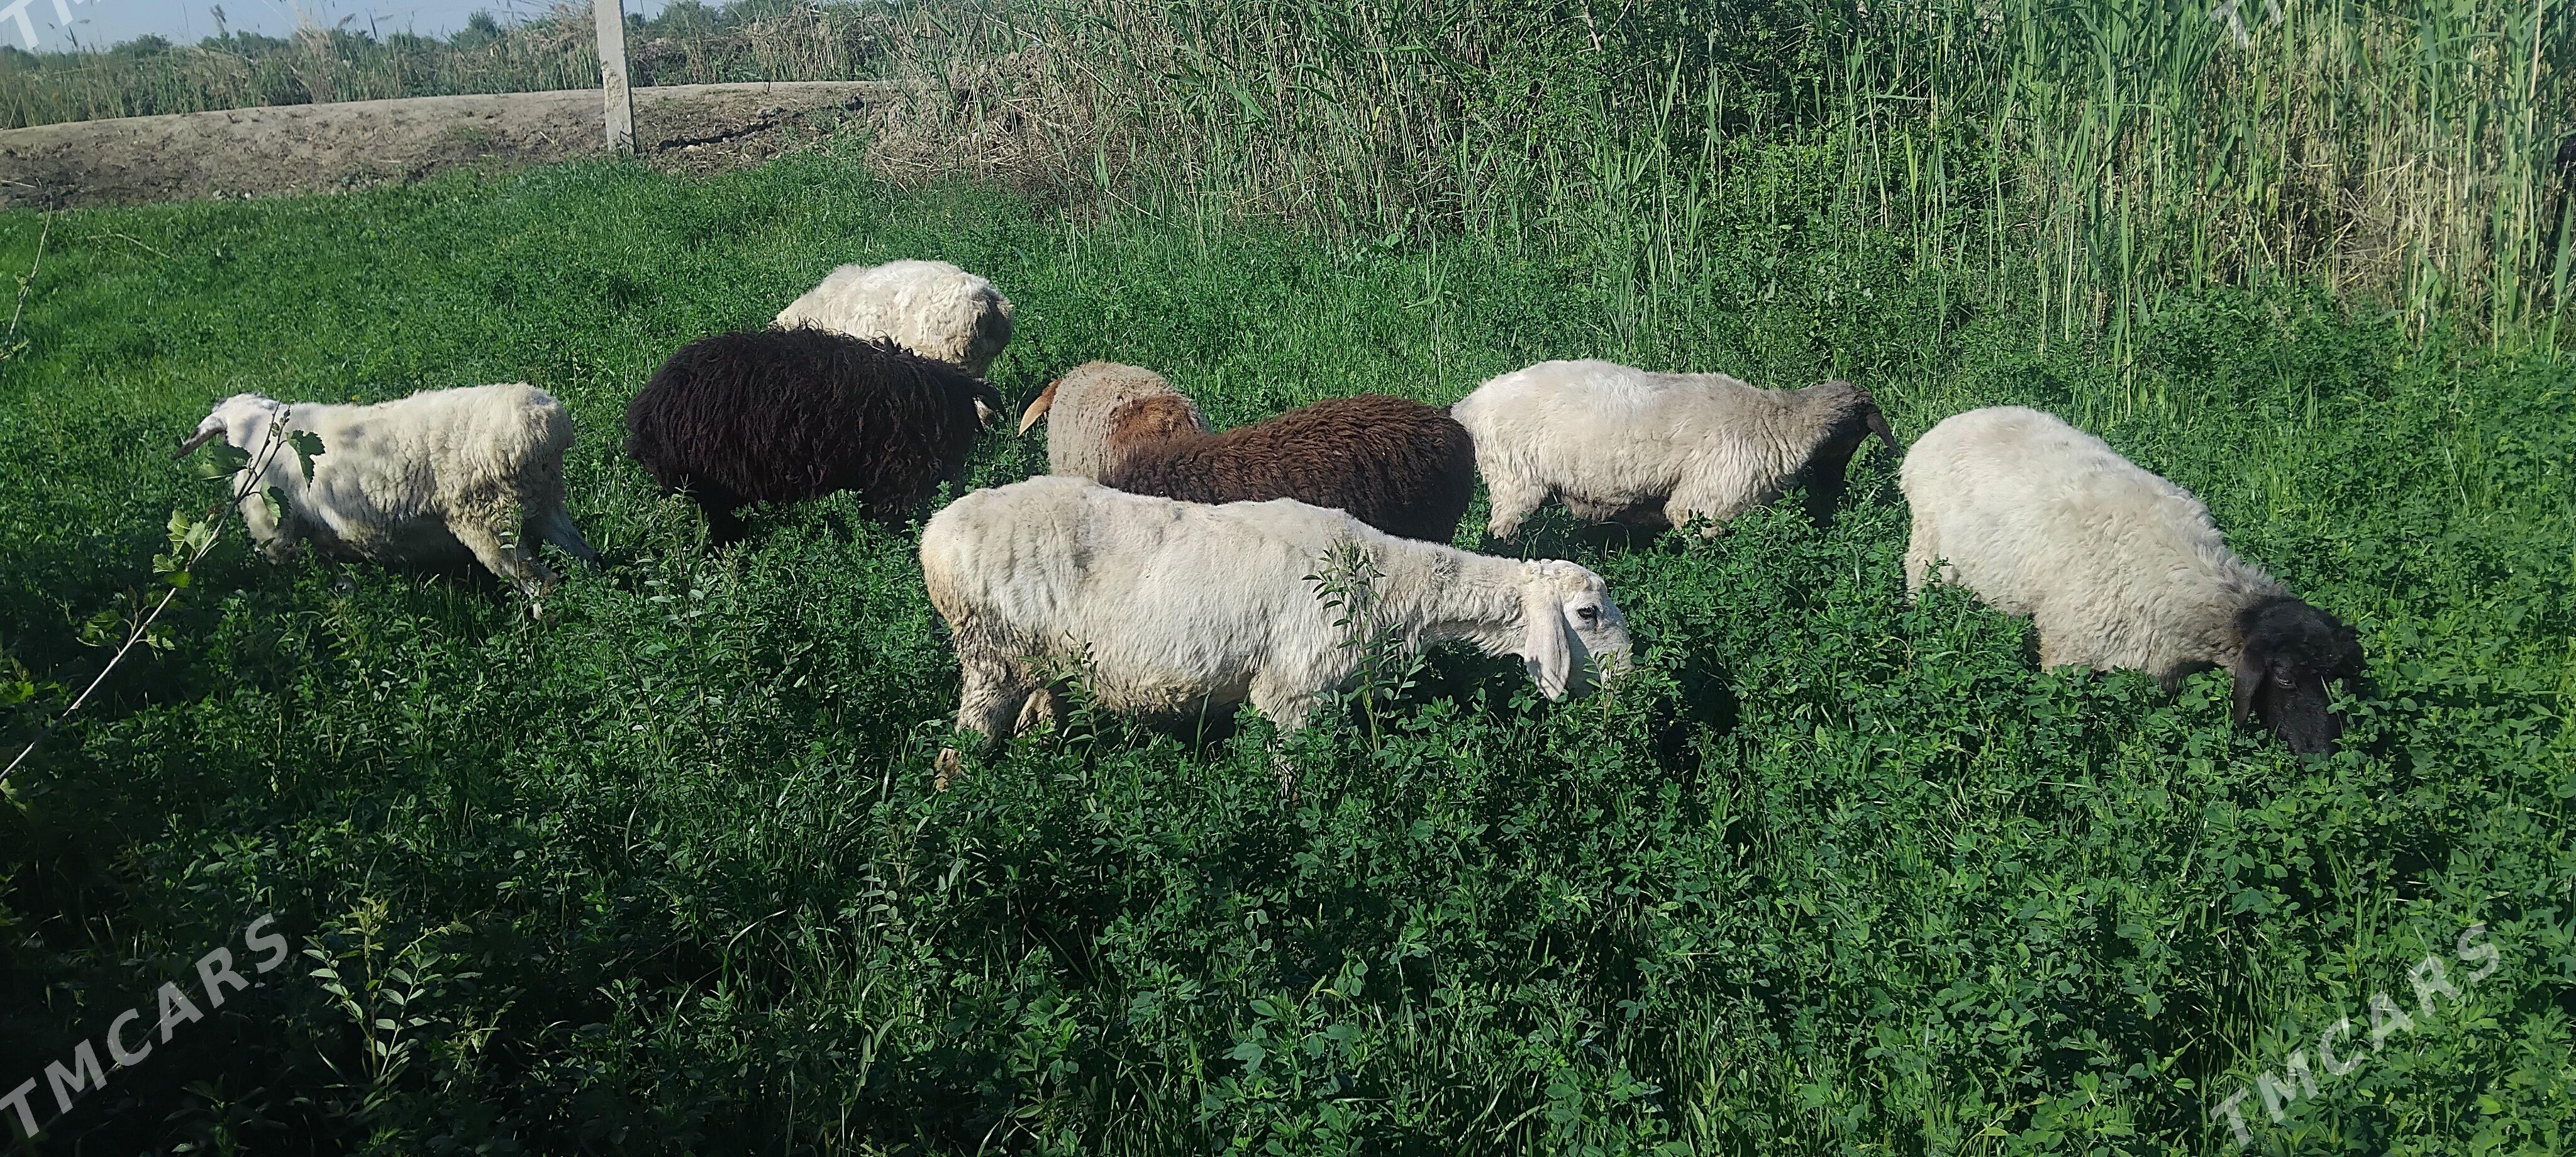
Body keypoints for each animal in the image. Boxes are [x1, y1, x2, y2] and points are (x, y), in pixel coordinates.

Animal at [174, 384, 599, 597]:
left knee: (538, 582)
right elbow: (338, 577)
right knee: (585, 555)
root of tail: (545, 423)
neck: (256, 432)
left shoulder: (281, 539)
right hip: (544, 503)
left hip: (489, 522)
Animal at [920, 476, 1633, 785]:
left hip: (1045, 666)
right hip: (991, 653)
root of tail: (934, 536)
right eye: (1587, 614)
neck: (1385, 583)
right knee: (959, 753)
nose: (1630, 680)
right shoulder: (1293, 693)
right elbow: (1290, 780)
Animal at [1450, 360, 1898, 540]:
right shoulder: (1705, 505)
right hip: (1515, 479)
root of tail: (1469, 406)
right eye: (1858, 435)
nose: (1835, 493)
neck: (1776, 424)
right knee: (1500, 534)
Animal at [1899, 405, 2363, 754]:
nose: (2321, 755)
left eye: (2339, 678)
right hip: (1927, 550)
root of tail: (1951, 422)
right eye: (2283, 677)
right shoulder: (2068, 653)